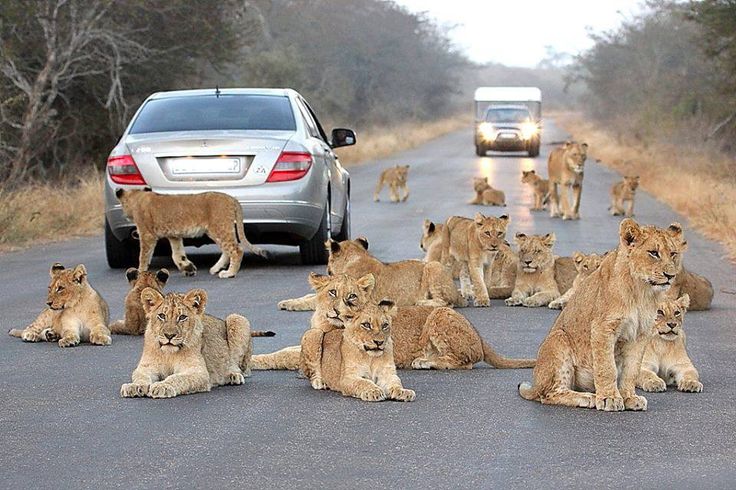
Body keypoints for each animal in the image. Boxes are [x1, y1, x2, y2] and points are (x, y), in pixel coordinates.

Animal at [115, 188, 267, 279]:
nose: (124, 215)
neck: (138, 196)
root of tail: (232, 198)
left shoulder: (147, 235)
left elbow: (143, 256)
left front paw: (139, 272)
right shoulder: (174, 236)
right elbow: (177, 255)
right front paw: (188, 268)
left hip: (219, 227)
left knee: (236, 249)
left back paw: (229, 273)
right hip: (216, 230)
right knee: (226, 250)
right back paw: (215, 269)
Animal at [120, 288, 254, 399]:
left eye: (182, 317)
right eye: (162, 316)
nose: (169, 336)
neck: (169, 354)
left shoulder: (198, 372)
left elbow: (177, 378)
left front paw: (162, 386)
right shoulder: (146, 367)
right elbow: (140, 376)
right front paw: (134, 386)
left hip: (237, 318)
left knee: (242, 369)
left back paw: (232, 376)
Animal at [256, 273, 535, 372]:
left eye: (352, 297)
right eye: (332, 292)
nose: (337, 311)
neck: (324, 322)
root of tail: (479, 335)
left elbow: (284, 356)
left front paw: (253, 362)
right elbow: (285, 350)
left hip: (439, 314)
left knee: (465, 361)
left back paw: (424, 362)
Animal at [278, 236, 463, 311]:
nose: (327, 270)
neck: (355, 257)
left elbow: (312, 301)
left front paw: (288, 304)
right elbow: (309, 296)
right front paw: (287, 301)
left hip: (433, 266)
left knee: (447, 302)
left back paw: (420, 303)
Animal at [518, 218, 687, 411]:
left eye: (673, 254)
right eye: (653, 253)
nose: (670, 275)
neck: (642, 290)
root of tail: (536, 384)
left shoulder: (640, 334)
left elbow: (632, 370)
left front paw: (629, 398)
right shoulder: (603, 327)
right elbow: (607, 367)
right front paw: (609, 399)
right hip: (558, 338)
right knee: (549, 394)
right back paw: (588, 398)